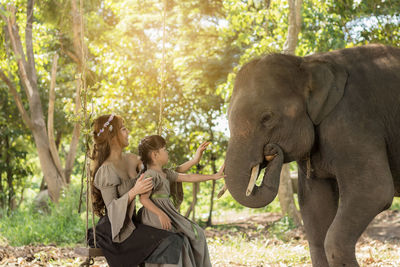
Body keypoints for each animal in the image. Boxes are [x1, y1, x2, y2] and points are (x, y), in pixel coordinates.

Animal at [225, 44, 400, 267]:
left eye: (266, 118)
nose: (271, 150)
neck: (305, 64)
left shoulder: (353, 122)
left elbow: (374, 190)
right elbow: (315, 207)